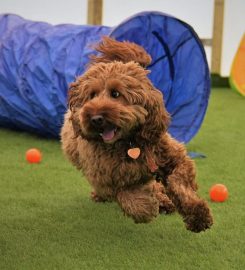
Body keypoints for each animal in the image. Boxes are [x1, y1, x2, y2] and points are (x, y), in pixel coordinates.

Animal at [60, 37, 212, 233]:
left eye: (115, 93)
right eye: (92, 95)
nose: (95, 118)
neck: (129, 144)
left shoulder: (174, 158)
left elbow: (179, 181)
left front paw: (198, 214)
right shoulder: (108, 180)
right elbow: (130, 198)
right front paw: (148, 206)